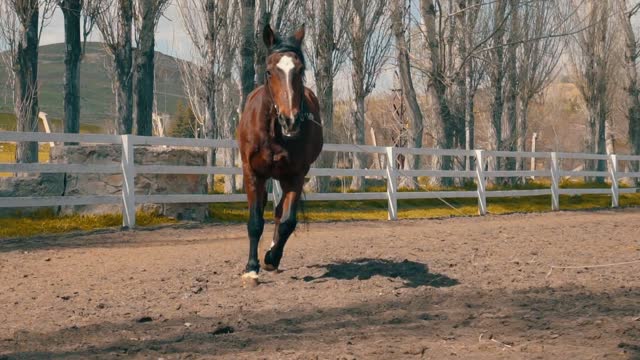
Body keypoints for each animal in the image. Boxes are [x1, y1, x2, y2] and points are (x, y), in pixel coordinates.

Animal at [236, 23, 322, 286]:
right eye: (269, 71)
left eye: (300, 70)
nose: (290, 120)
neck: (273, 132)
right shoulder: (252, 174)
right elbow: (255, 222)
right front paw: (251, 268)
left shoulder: (296, 175)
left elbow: (287, 221)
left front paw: (271, 258)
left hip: (283, 178)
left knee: (278, 214)